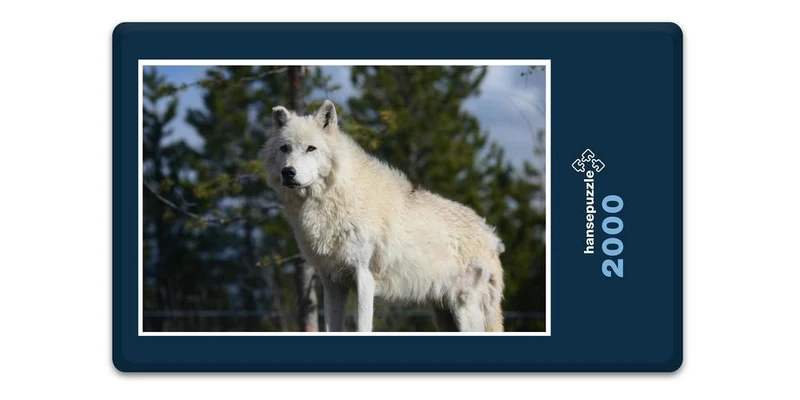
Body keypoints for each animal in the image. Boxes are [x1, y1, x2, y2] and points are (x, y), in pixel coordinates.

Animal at [261, 100, 505, 332]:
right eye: (285, 148)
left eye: (311, 148)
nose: (288, 172)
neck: (334, 197)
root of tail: (491, 235)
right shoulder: (332, 282)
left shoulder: (364, 278)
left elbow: (362, 327)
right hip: (443, 315)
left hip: (465, 310)